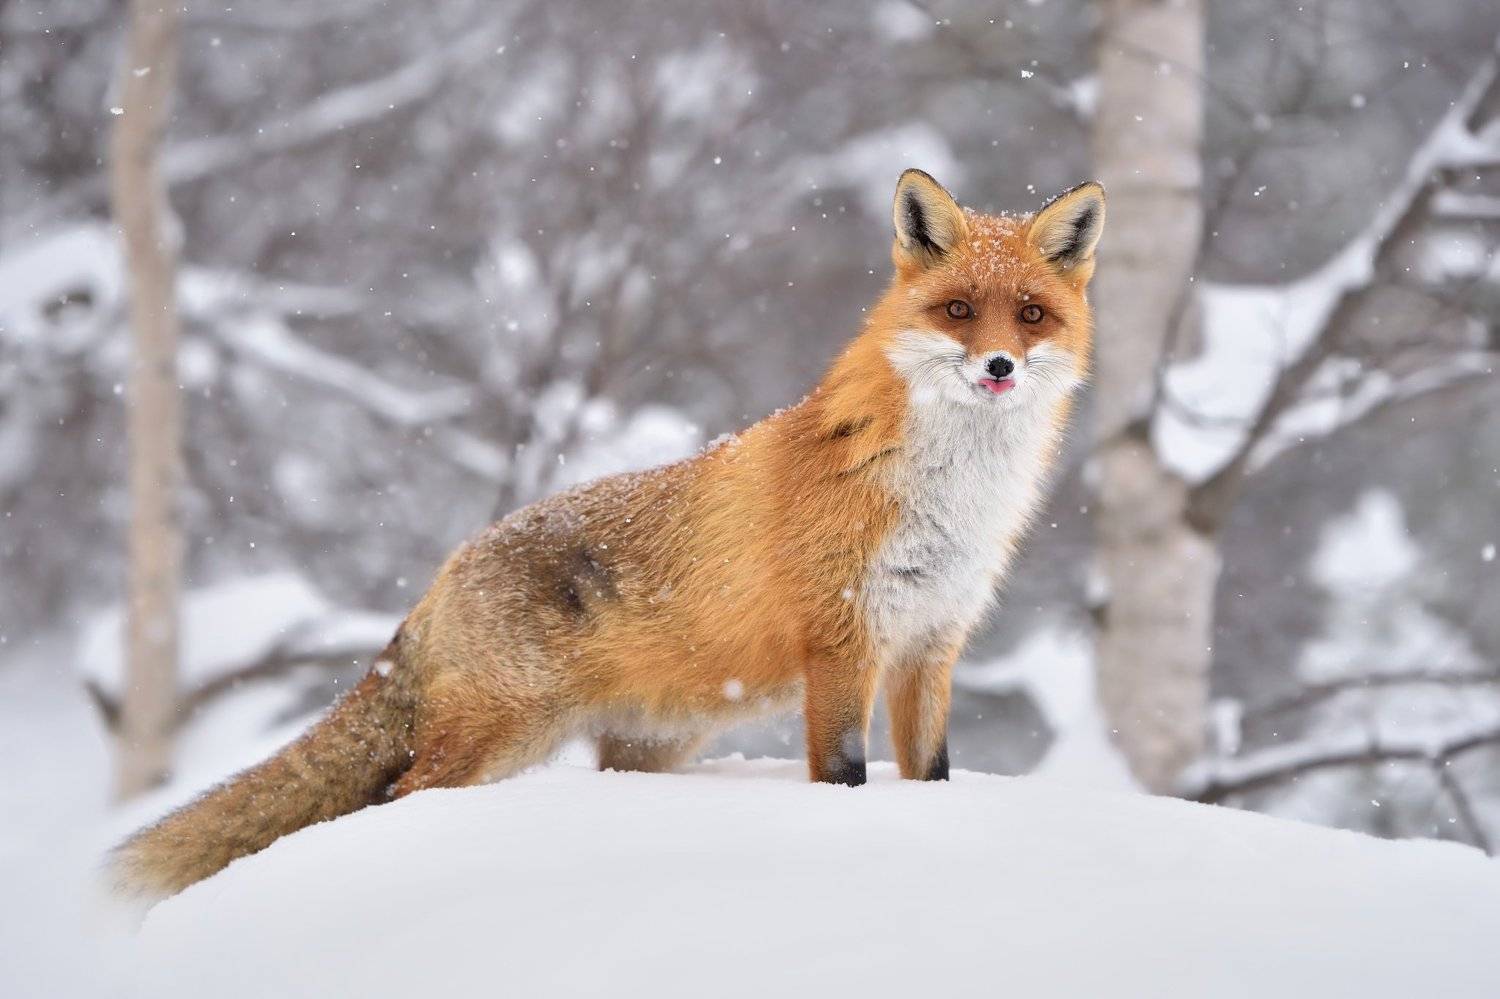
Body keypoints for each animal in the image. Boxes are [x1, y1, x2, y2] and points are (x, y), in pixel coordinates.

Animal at [111, 169, 1105, 901]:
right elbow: (843, 775)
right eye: (957, 311)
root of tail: (444, 572)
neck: (951, 496)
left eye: (1030, 313)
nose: (1000, 366)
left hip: (648, 745)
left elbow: (931, 773)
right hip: (499, 736)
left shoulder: (932, 643)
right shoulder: (843, 641)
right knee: (395, 796)